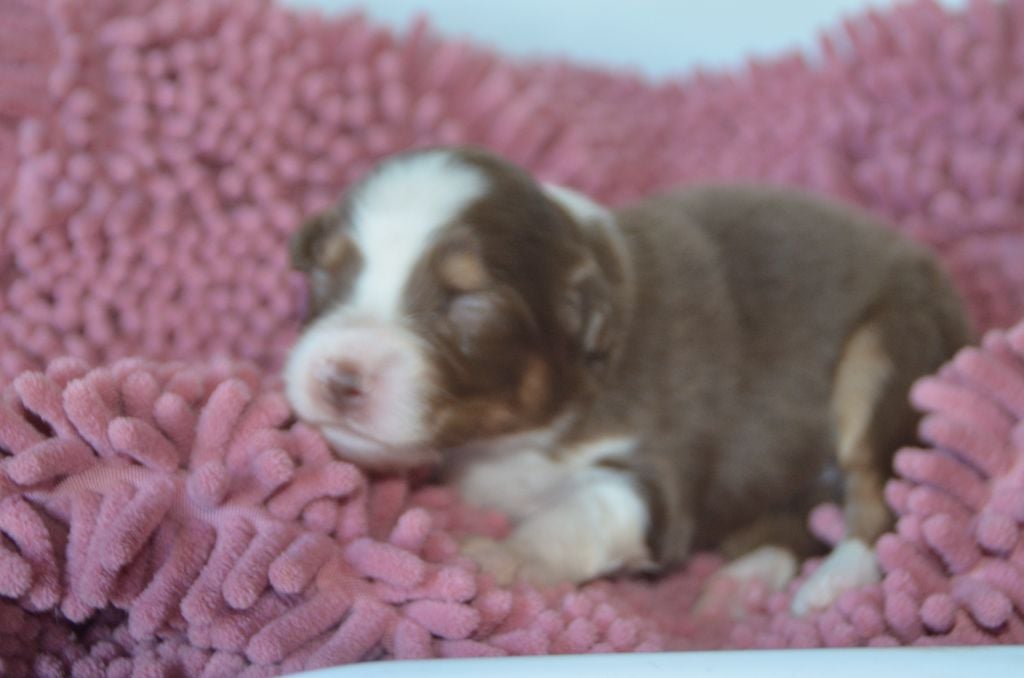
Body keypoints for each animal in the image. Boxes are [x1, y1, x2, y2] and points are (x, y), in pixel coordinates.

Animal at [284, 146, 971, 614]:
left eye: (468, 302)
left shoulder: (659, 471)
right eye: (325, 273)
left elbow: (583, 510)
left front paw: (503, 556)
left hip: (890, 351)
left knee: (881, 498)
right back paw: (741, 584)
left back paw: (830, 587)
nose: (338, 376)